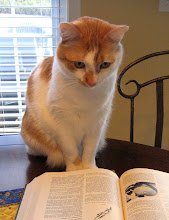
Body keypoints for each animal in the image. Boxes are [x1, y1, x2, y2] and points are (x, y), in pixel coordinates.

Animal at [21, 17, 129, 172]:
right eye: (79, 64)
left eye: (104, 65)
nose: (91, 82)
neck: (85, 97)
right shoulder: (61, 124)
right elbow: (70, 151)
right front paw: (75, 171)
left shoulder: (97, 124)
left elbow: (89, 150)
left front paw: (90, 169)